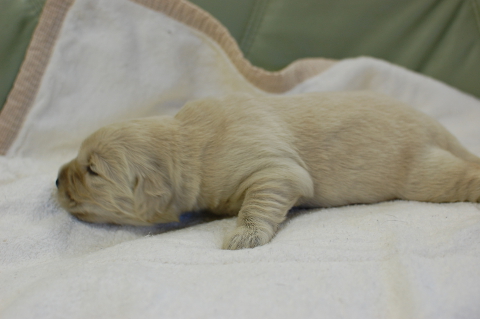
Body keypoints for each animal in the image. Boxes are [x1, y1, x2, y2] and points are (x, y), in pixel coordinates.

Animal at [55, 92, 480, 250]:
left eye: (92, 170)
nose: (56, 179)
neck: (189, 145)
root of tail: (435, 126)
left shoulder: (273, 167)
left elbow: (264, 196)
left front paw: (245, 234)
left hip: (421, 171)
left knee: (455, 177)